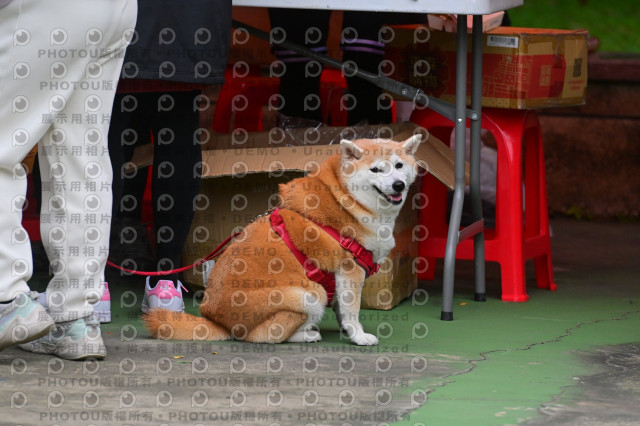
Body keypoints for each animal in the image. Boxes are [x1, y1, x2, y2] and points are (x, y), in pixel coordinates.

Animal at [144, 134, 421, 346]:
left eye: (399, 166)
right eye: (375, 169)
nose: (398, 185)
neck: (346, 199)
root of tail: (215, 320)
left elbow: (342, 310)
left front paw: (346, 330)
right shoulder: (349, 268)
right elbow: (352, 310)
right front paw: (359, 336)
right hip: (310, 294)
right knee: (264, 336)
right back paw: (307, 335)